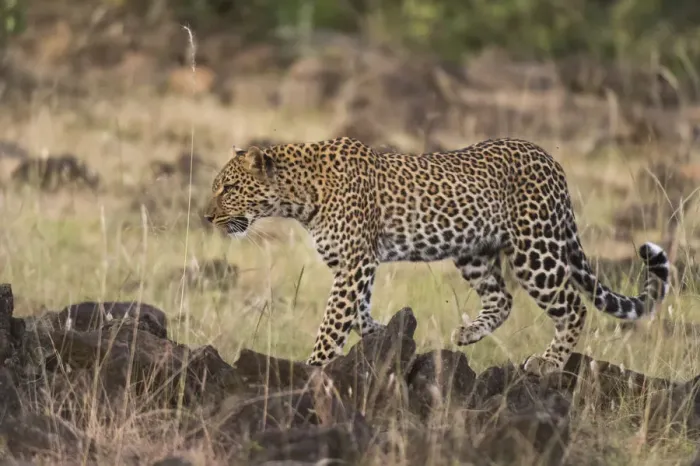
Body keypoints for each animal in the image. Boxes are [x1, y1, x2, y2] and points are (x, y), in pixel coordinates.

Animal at [204, 136, 670, 375]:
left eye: (228, 188)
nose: (207, 216)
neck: (298, 197)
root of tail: (551, 161)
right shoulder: (354, 263)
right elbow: (356, 311)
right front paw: (381, 333)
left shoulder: (355, 261)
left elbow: (334, 319)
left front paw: (314, 366)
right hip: (473, 250)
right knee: (502, 298)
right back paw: (468, 334)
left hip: (534, 247)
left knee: (572, 305)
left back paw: (548, 362)